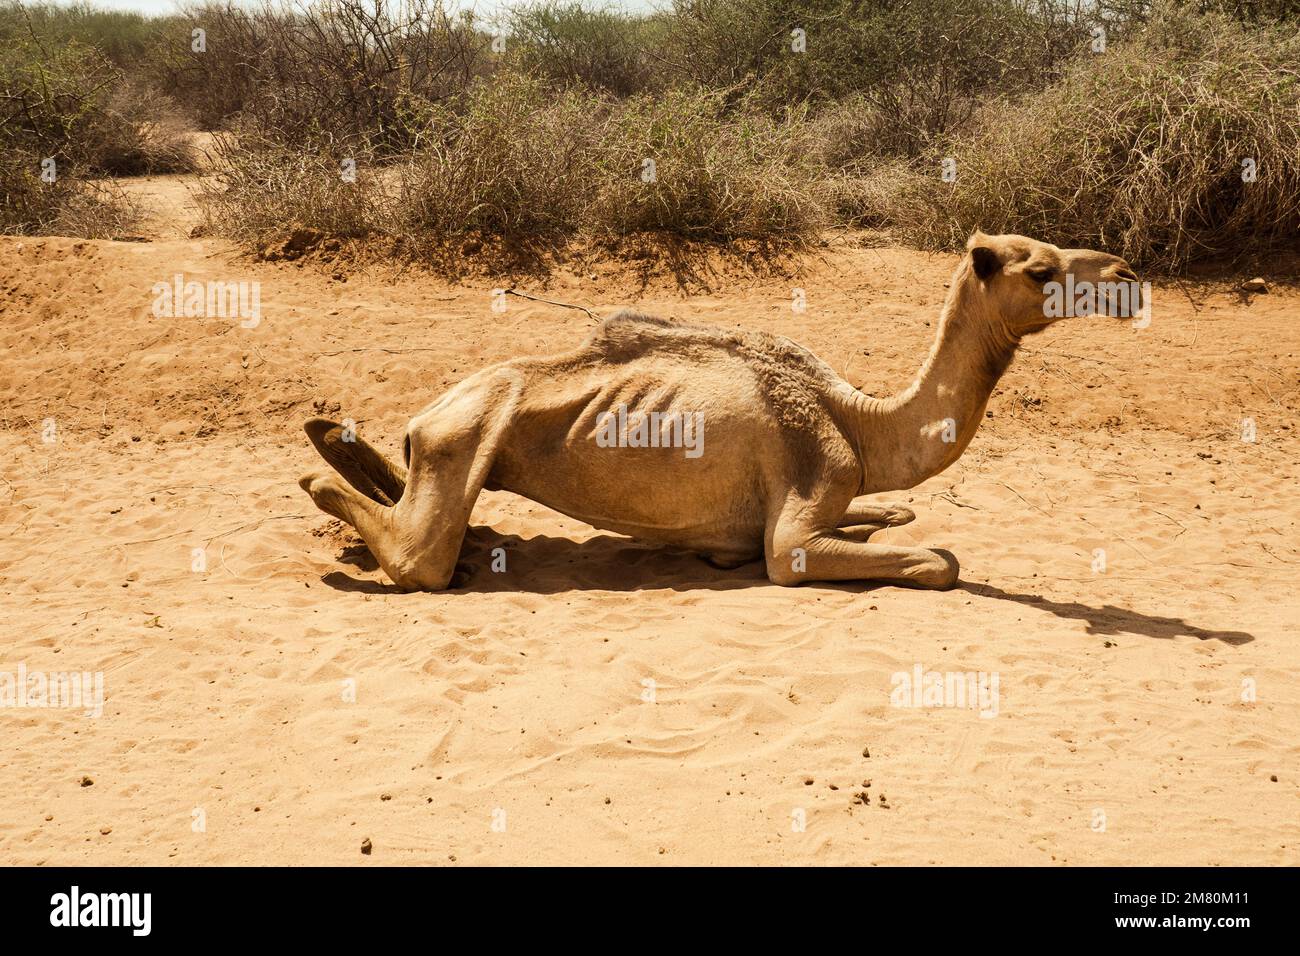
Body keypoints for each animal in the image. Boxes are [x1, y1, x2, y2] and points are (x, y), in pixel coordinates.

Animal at [299, 232, 1141, 591]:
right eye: (1040, 270)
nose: (1128, 274)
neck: (857, 419)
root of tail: (425, 415)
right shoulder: (801, 507)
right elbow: (934, 560)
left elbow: (890, 515)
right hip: (462, 443)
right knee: (420, 557)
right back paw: (324, 472)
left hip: (445, 445)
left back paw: (339, 445)